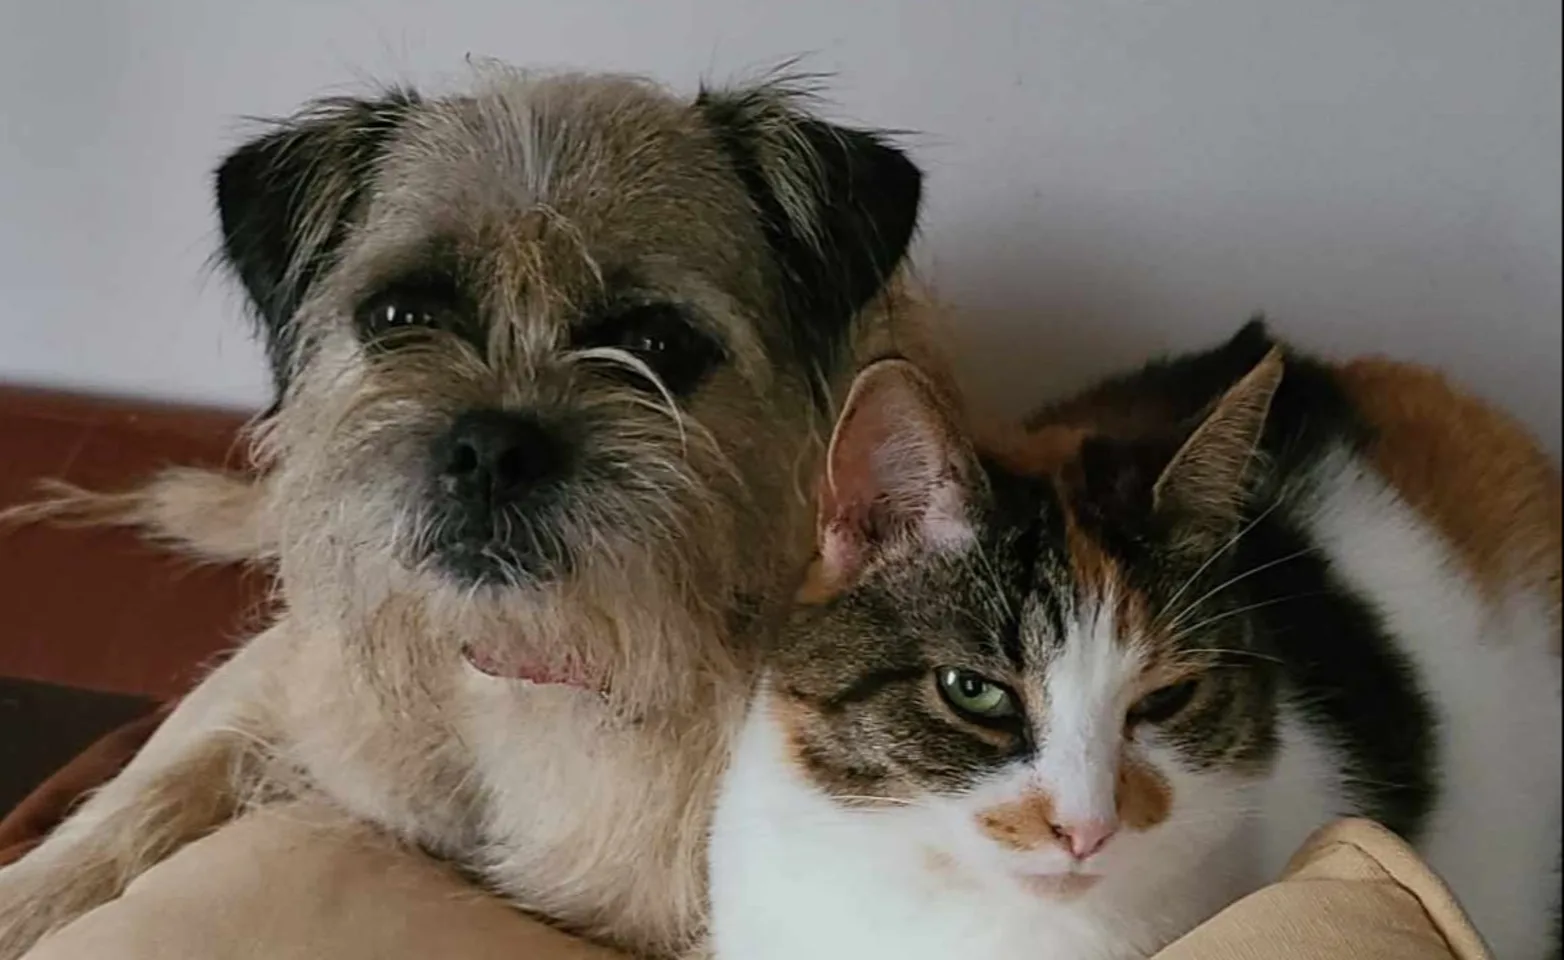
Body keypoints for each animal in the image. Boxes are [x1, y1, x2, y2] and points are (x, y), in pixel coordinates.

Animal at [0, 64, 938, 956]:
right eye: (399, 315)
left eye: (656, 343)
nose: (492, 449)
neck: (520, 672)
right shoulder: (273, 685)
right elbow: (141, 797)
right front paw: (27, 901)